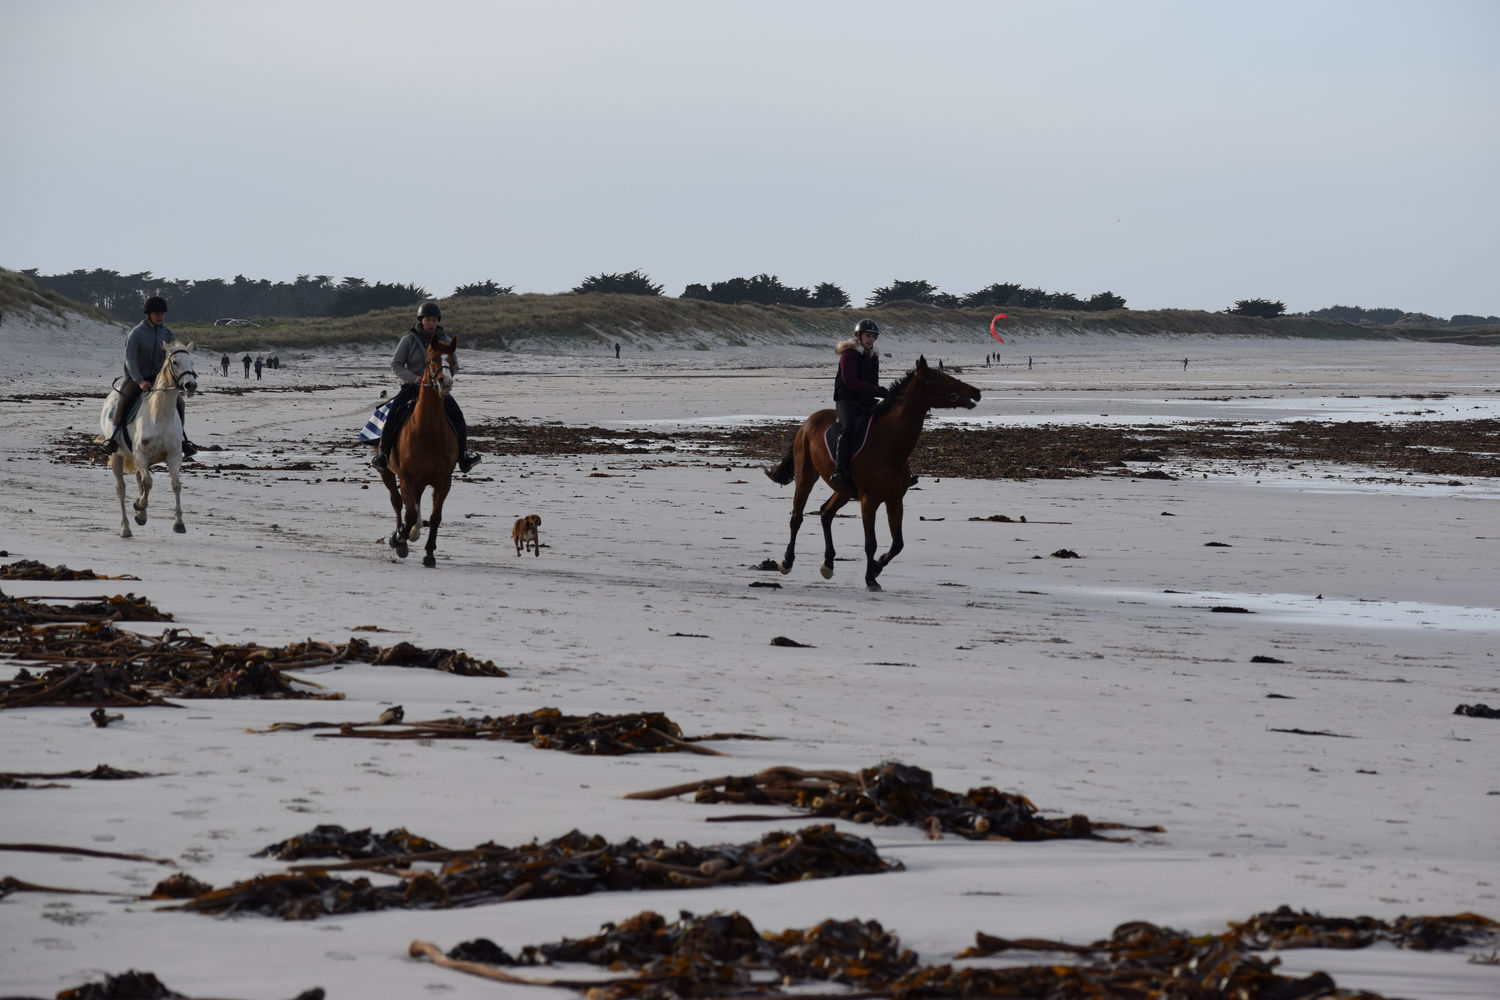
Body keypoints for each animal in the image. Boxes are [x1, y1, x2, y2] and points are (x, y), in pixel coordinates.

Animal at [378, 340, 459, 566]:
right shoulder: (406, 477)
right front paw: (398, 540)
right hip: (387, 473)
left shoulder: (444, 480)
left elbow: (435, 517)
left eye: (452, 360)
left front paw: (429, 554)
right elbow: (410, 514)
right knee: (397, 502)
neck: (427, 431)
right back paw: (401, 535)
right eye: (431, 359)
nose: (445, 382)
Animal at [762, 355, 984, 590]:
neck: (889, 444)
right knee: (797, 517)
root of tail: (807, 423)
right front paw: (870, 578)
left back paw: (828, 564)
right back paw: (787, 562)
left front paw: (877, 567)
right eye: (940, 378)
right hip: (805, 476)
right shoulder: (869, 501)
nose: (976, 391)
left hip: (843, 490)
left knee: (826, 513)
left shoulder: (894, 500)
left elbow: (898, 544)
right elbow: (871, 543)